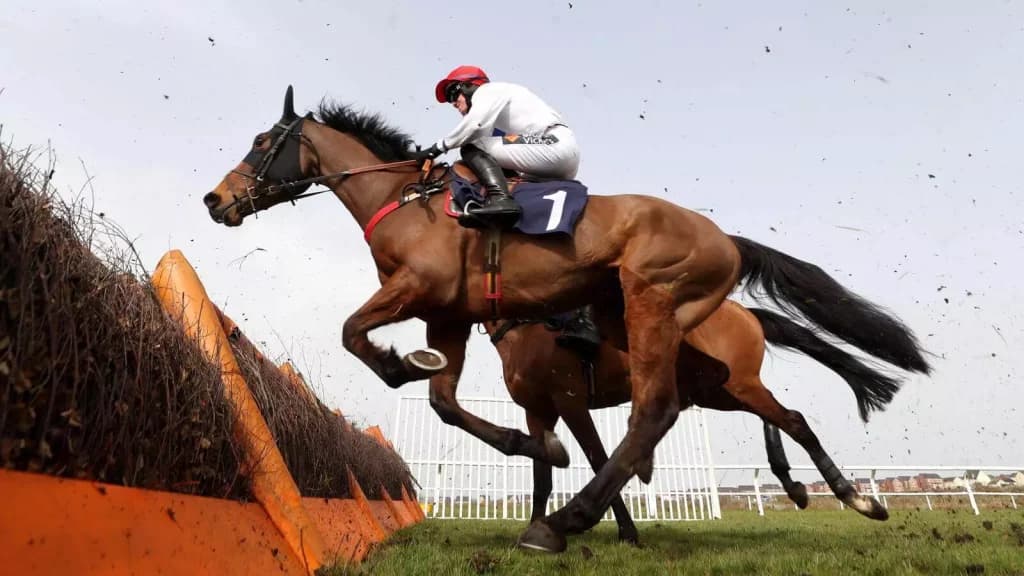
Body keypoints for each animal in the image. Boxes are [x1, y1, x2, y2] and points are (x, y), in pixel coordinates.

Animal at [488, 299, 916, 546]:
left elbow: (598, 460)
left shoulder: (571, 402)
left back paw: (860, 501)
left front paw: (626, 532)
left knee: (794, 420)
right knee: (778, 414)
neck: (526, 328)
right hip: (721, 390)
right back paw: (794, 485)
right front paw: (535, 527)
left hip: (734, 382)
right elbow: (542, 479)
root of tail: (744, 312)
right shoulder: (537, 411)